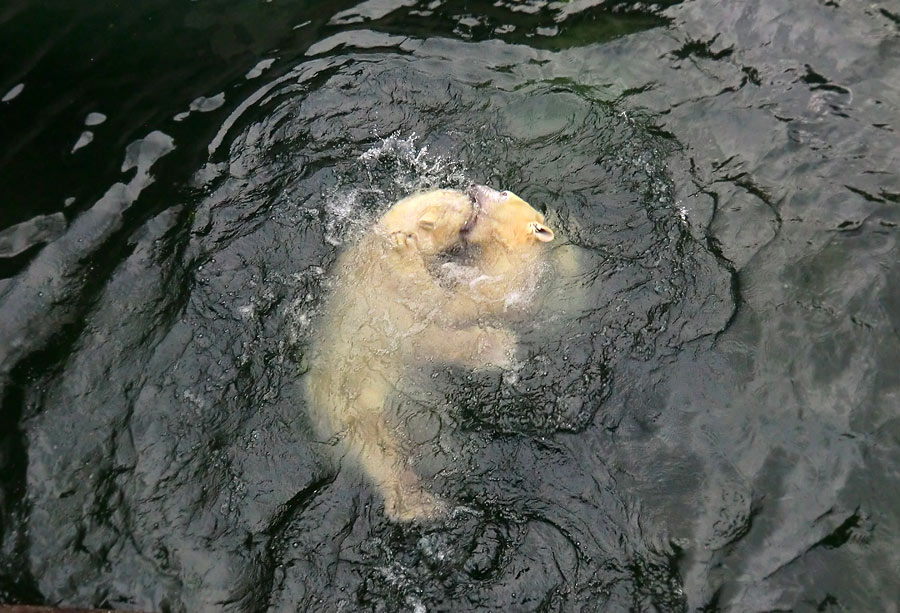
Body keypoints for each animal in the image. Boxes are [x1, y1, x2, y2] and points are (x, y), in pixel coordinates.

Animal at [306, 184, 552, 520]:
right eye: (458, 208)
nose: (471, 190)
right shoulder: (392, 303)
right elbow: (442, 308)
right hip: (354, 401)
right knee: (381, 447)